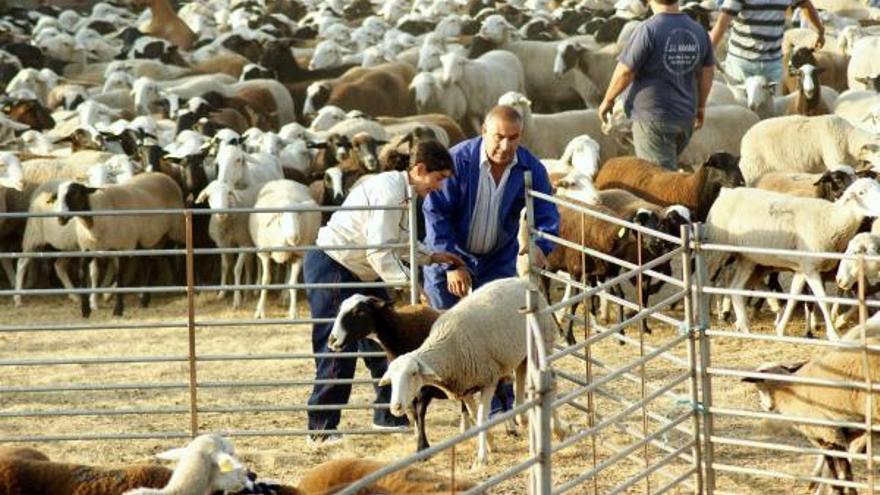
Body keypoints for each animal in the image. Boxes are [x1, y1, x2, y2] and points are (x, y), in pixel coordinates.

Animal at [249, 180, 322, 320]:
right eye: (280, 215)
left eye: (298, 215)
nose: (294, 237)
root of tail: (285, 181)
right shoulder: (265, 254)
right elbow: (266, 280)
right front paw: (260, 311)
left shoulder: (298, 255)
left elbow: (293, 283)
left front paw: (293, 312)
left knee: (288, 272)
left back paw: (284, 297)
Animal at [378, 280, 564, 468]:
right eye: (391, 379)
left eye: (414, 373)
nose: (396, 407)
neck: (448, 350)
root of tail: (524, 282)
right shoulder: (464, 387)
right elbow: (475, 417)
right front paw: (490, 443)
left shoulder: (489, 380)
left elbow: (481, 418)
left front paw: (482, 458)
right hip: (520, 355)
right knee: (521, 381)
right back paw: (523, 418)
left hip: (543, 343)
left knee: (552, 382)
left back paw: (560, 430)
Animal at [704, 179, 880, 340]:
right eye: (861, 193)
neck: (831, 219)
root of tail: (726, 192)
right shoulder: (810, 268)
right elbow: (823, 301)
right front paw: (834, 335)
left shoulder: (802, 269)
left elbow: (793, 298)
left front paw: (781, 330)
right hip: (716, 249)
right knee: (709, 281)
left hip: (747, 259)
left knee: (735, 288)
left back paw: (745, 328)